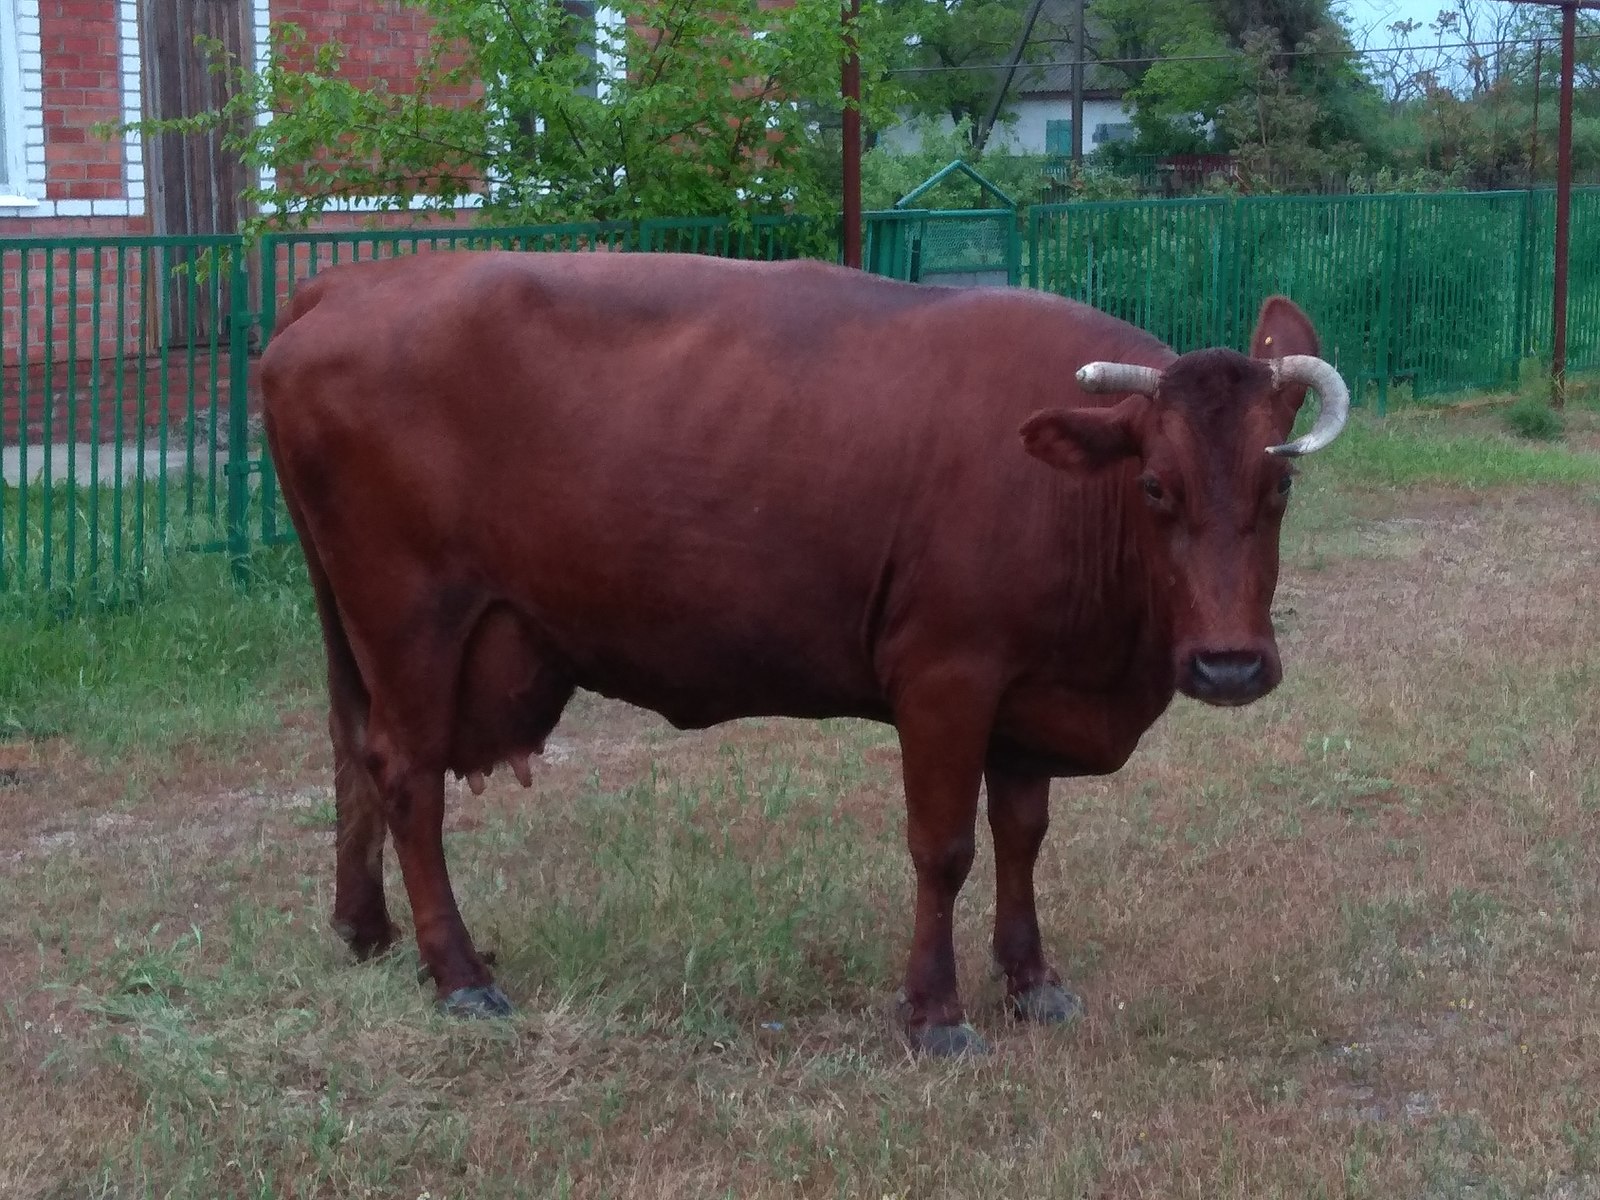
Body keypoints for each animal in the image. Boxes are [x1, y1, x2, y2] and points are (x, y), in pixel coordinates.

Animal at [262, 249, 1350, 1056]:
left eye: (1282, 486)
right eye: (1156, 486)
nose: (1227, 666)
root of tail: (347, 285)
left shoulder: (1027, 693)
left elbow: (1021, 836)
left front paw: (1032, 979)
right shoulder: (946, 676)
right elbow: (944, 847)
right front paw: (934, 1014)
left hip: (357, 624)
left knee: (351, 753)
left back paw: (367, 932)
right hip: (413, 616)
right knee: (408, 777)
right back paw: (459, 975)